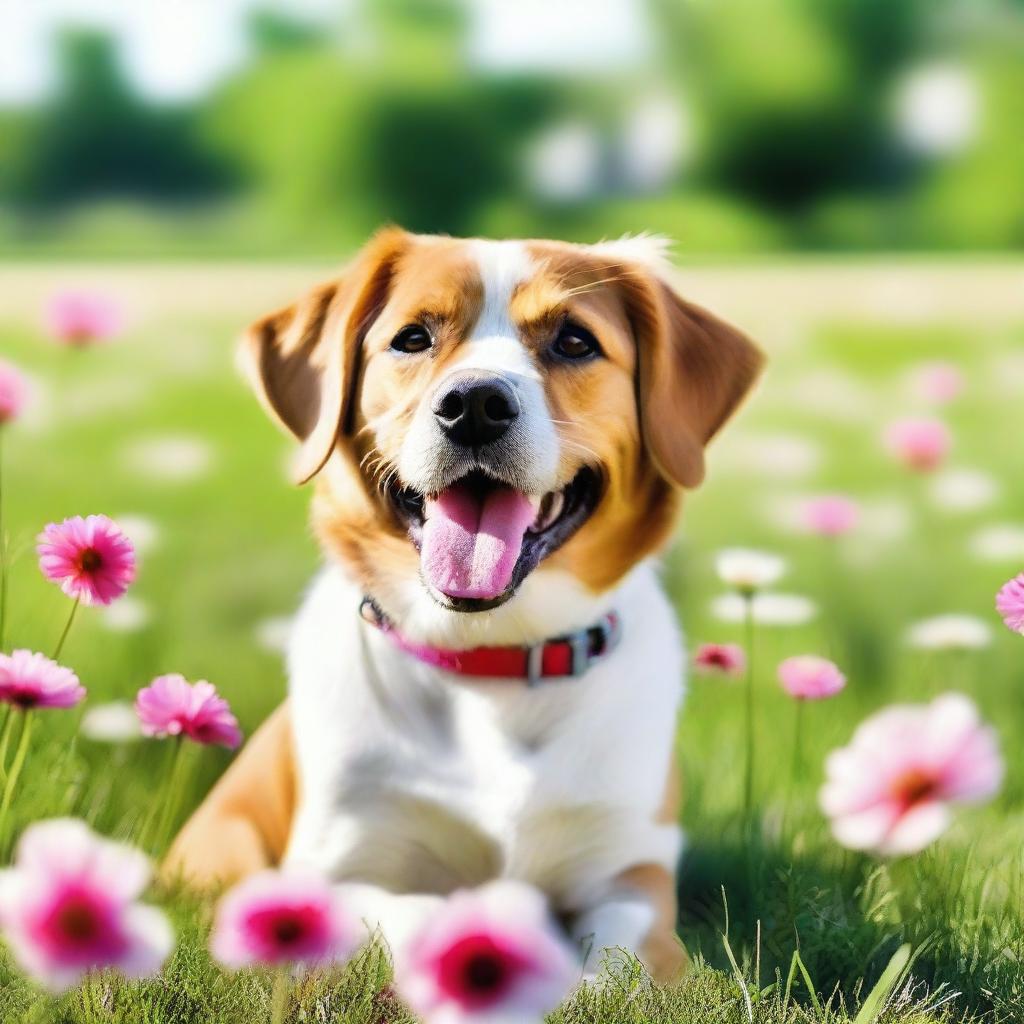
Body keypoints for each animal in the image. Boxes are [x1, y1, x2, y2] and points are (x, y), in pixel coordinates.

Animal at [165, 228, 761, 978]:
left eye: (574, 341)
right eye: (413, 338)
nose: (474, 404)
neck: (490, 660)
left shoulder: (632, 872)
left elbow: (619, 961)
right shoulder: (335, 869)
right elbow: (418, 911)